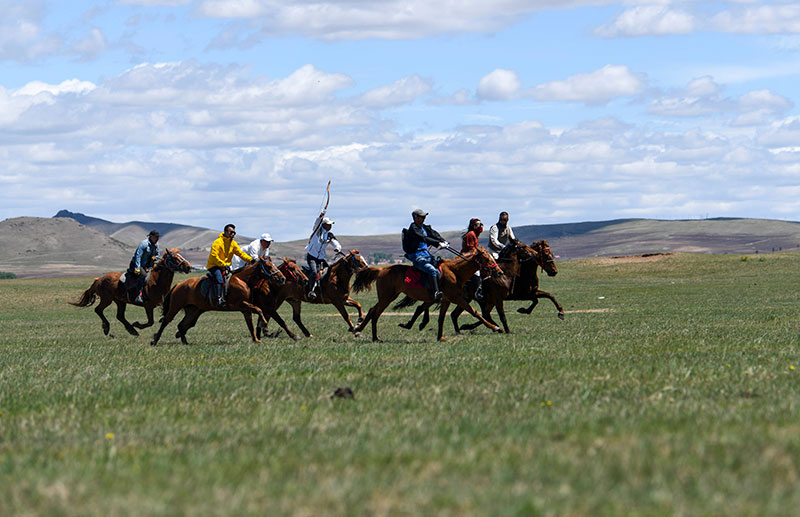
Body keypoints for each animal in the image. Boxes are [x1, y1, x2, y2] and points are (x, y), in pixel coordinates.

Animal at [149, 258, 284, 346]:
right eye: (269, 267)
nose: (282, 278)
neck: (242, 280)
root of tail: (178, 285)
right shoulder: (240, 304)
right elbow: (259, 310)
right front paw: (264, 324)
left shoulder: (246, 309)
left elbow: (250, 323)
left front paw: (256, 339)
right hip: (175, 307)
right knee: (166, 321)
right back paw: (155, 341)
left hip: (192, 311)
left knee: (182, 325)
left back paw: (185, 342)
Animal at [354, 247, 504, 342]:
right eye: (486, 259)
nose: (500, 272)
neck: (455, 272)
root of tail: (381, 269)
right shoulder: (457, 298)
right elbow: (474, 312)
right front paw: (496, 327)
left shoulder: (446, 300)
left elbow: (440, 318)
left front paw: (440, 338)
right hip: (386, 297)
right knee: (375, 312)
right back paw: (368, 334)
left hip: (389, 297)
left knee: (374, 311)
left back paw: (365, 332)